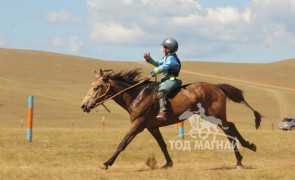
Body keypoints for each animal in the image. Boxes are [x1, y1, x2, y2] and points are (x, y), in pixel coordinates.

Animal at [80, 69, 262, 170]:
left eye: (96, 87)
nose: (84, 105)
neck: (137, 95)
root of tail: (217, 87)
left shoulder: (138, 124)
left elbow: (122, 144)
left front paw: (106, 163)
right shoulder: (152, 127)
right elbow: (162, 145)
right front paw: (168, 163)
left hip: (214, 116)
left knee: (229, 129)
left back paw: (241, 158)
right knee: (230, 126)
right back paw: (247, 149)